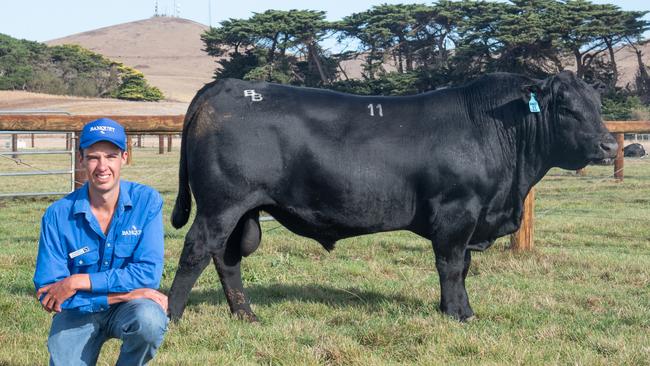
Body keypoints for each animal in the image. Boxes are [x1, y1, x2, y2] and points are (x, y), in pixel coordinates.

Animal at [165, 71, 616, 320]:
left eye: (597, 104)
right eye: (565, 108)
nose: (609, 145)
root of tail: (224, 87)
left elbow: (463, 266)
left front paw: (450, 308)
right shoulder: (456, 212)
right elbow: (451, 265)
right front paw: (460, 313)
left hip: (242, 209)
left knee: (226, 258)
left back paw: (246, 314)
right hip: (221, 205)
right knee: (196, 250)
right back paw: (172, 315)